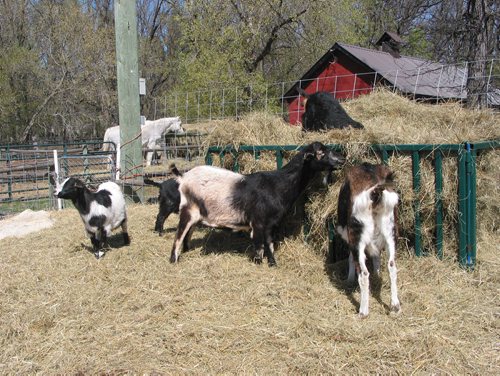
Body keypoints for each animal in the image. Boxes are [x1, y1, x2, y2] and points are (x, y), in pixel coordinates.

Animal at [168, 142, 344, 266]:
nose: (342, 159)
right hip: (188, 210)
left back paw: (187, 250)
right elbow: (259, 246)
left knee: (188, 233)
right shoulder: (258, 221)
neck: (277, 184)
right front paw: (259, 263)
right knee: (179, 235)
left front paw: (273, 263)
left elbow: (269, 244)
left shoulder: (271, 223)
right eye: (320, 153)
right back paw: (174, 260)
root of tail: (183, 177)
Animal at [336, 162, 402, 318]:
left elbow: (351, 259)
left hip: (357, 238)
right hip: (391, 233)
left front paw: (349, 279)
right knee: (392, 266)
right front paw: (377, 276)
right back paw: (395, 305)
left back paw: (363, 311)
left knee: (364, 273)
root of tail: (375, 193)